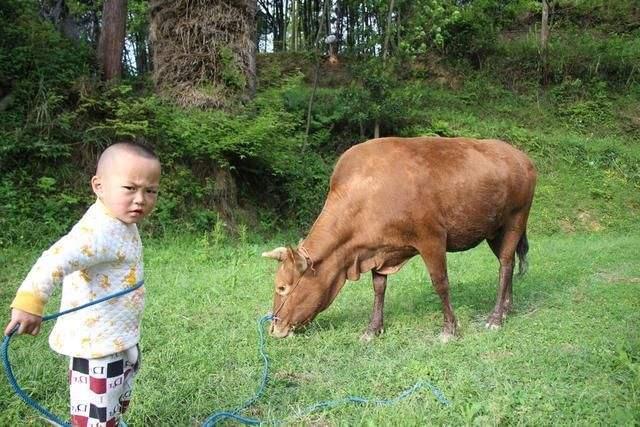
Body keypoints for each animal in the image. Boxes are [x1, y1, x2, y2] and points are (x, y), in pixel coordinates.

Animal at [260, 137, 536, 342]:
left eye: (281, 287)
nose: (274, 328)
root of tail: (520, 156)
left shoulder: (431, 238)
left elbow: (441, 283)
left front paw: (449, 329)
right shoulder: (377, 249)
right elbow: (378, 288)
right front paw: (373, 329)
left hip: (516, 219)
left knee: (505, 265)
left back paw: (495, 317)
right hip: (494, 229)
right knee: (508, 263)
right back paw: (507, 309)